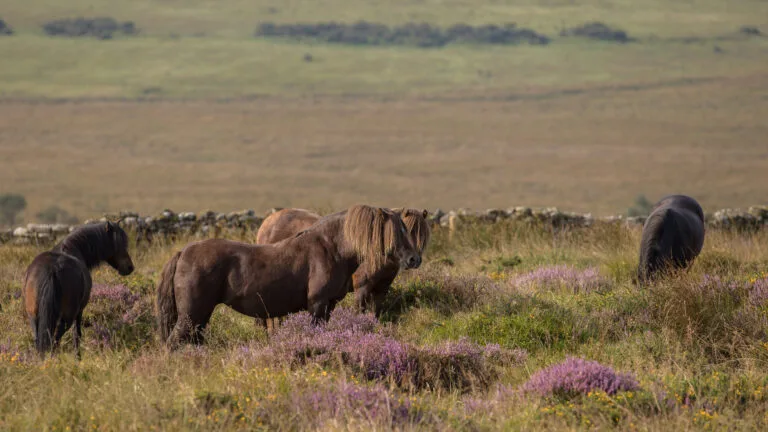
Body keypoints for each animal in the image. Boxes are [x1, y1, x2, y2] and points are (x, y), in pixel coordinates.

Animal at [23, 221, 135, 356]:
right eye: (118, 244)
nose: (130, 267)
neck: (74, 248)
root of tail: (52, 269)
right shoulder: (79, 311)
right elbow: (77, 334)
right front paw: (78, 356)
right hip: (67, 317)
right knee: (55, 340)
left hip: (33, 316)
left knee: (40, 340)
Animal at [256, 207, 430, 317]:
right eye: (405, 232)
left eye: (423, 235)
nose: (414, 260)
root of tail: (267, 222)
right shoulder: (361, 289)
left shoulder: (381, 290)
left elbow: (375, 314)